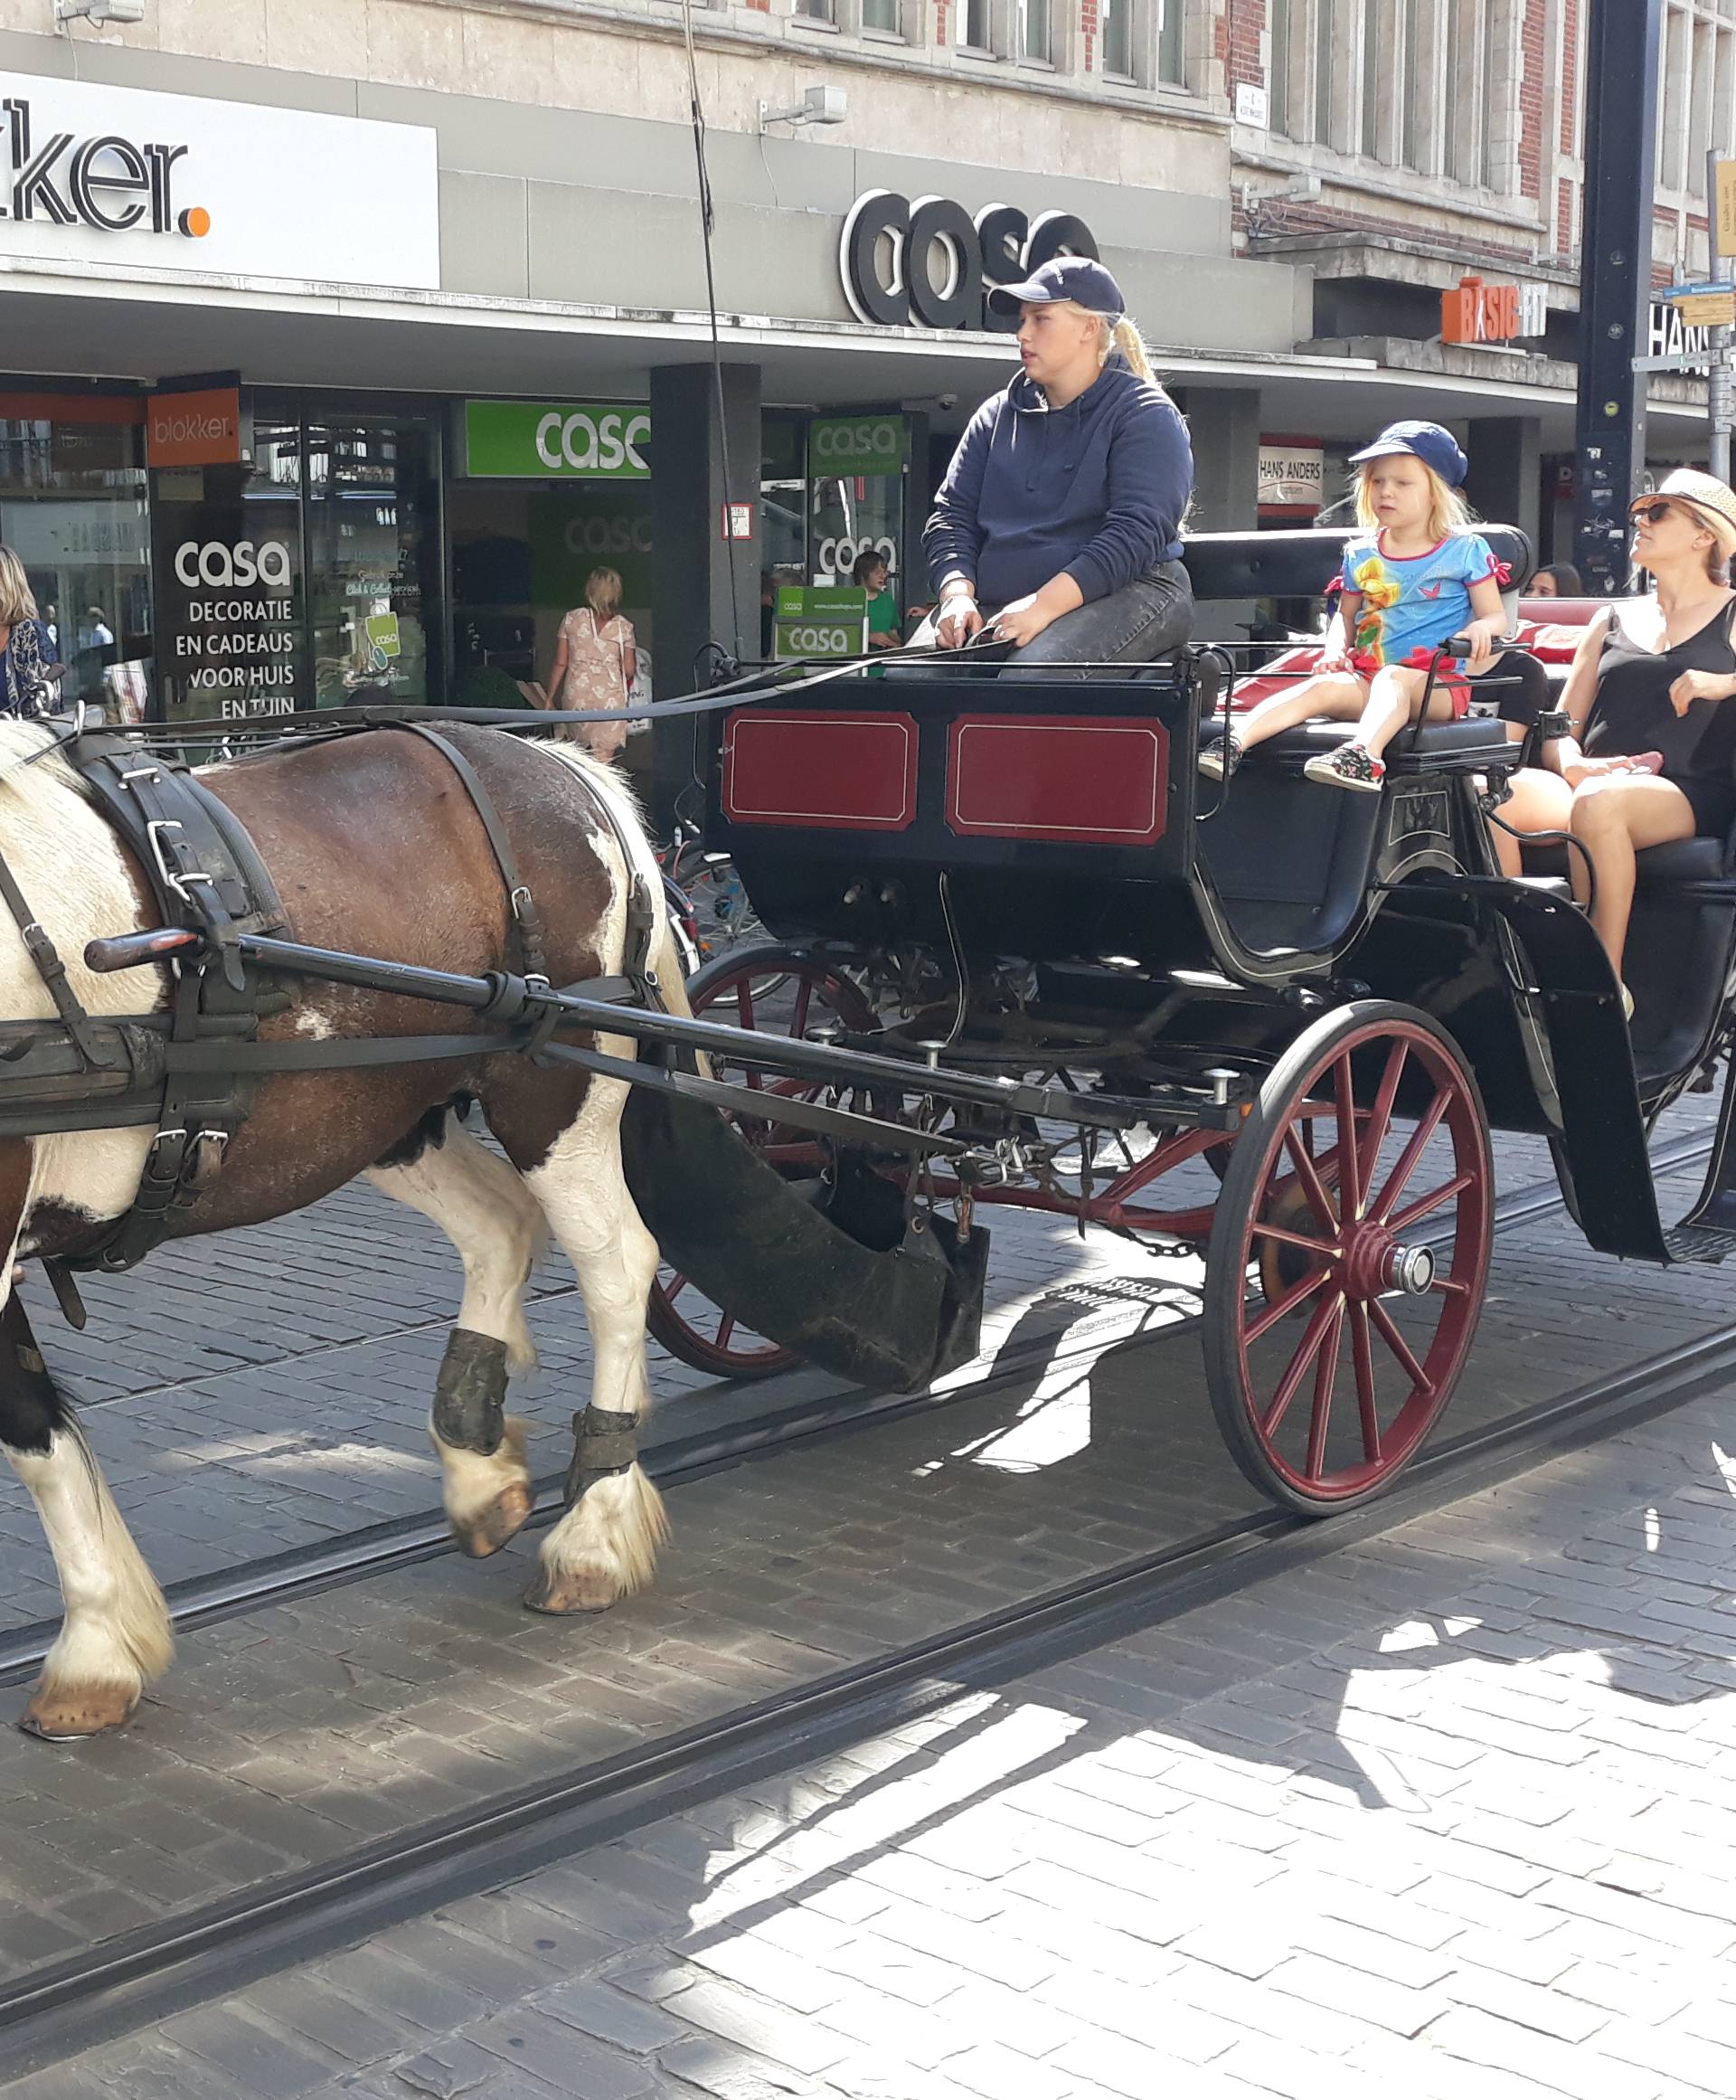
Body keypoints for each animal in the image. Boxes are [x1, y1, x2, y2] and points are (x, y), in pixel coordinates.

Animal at [0, 722, 684, 1738]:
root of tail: (561, 762)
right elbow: (37, 1429)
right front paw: (102, 1643)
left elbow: (29, 1426)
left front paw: (93, 1649)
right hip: (388, 1112)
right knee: (500, 1225)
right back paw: (479, 1469)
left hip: (555, 1093)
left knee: (614, 1269)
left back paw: (593, 1532)